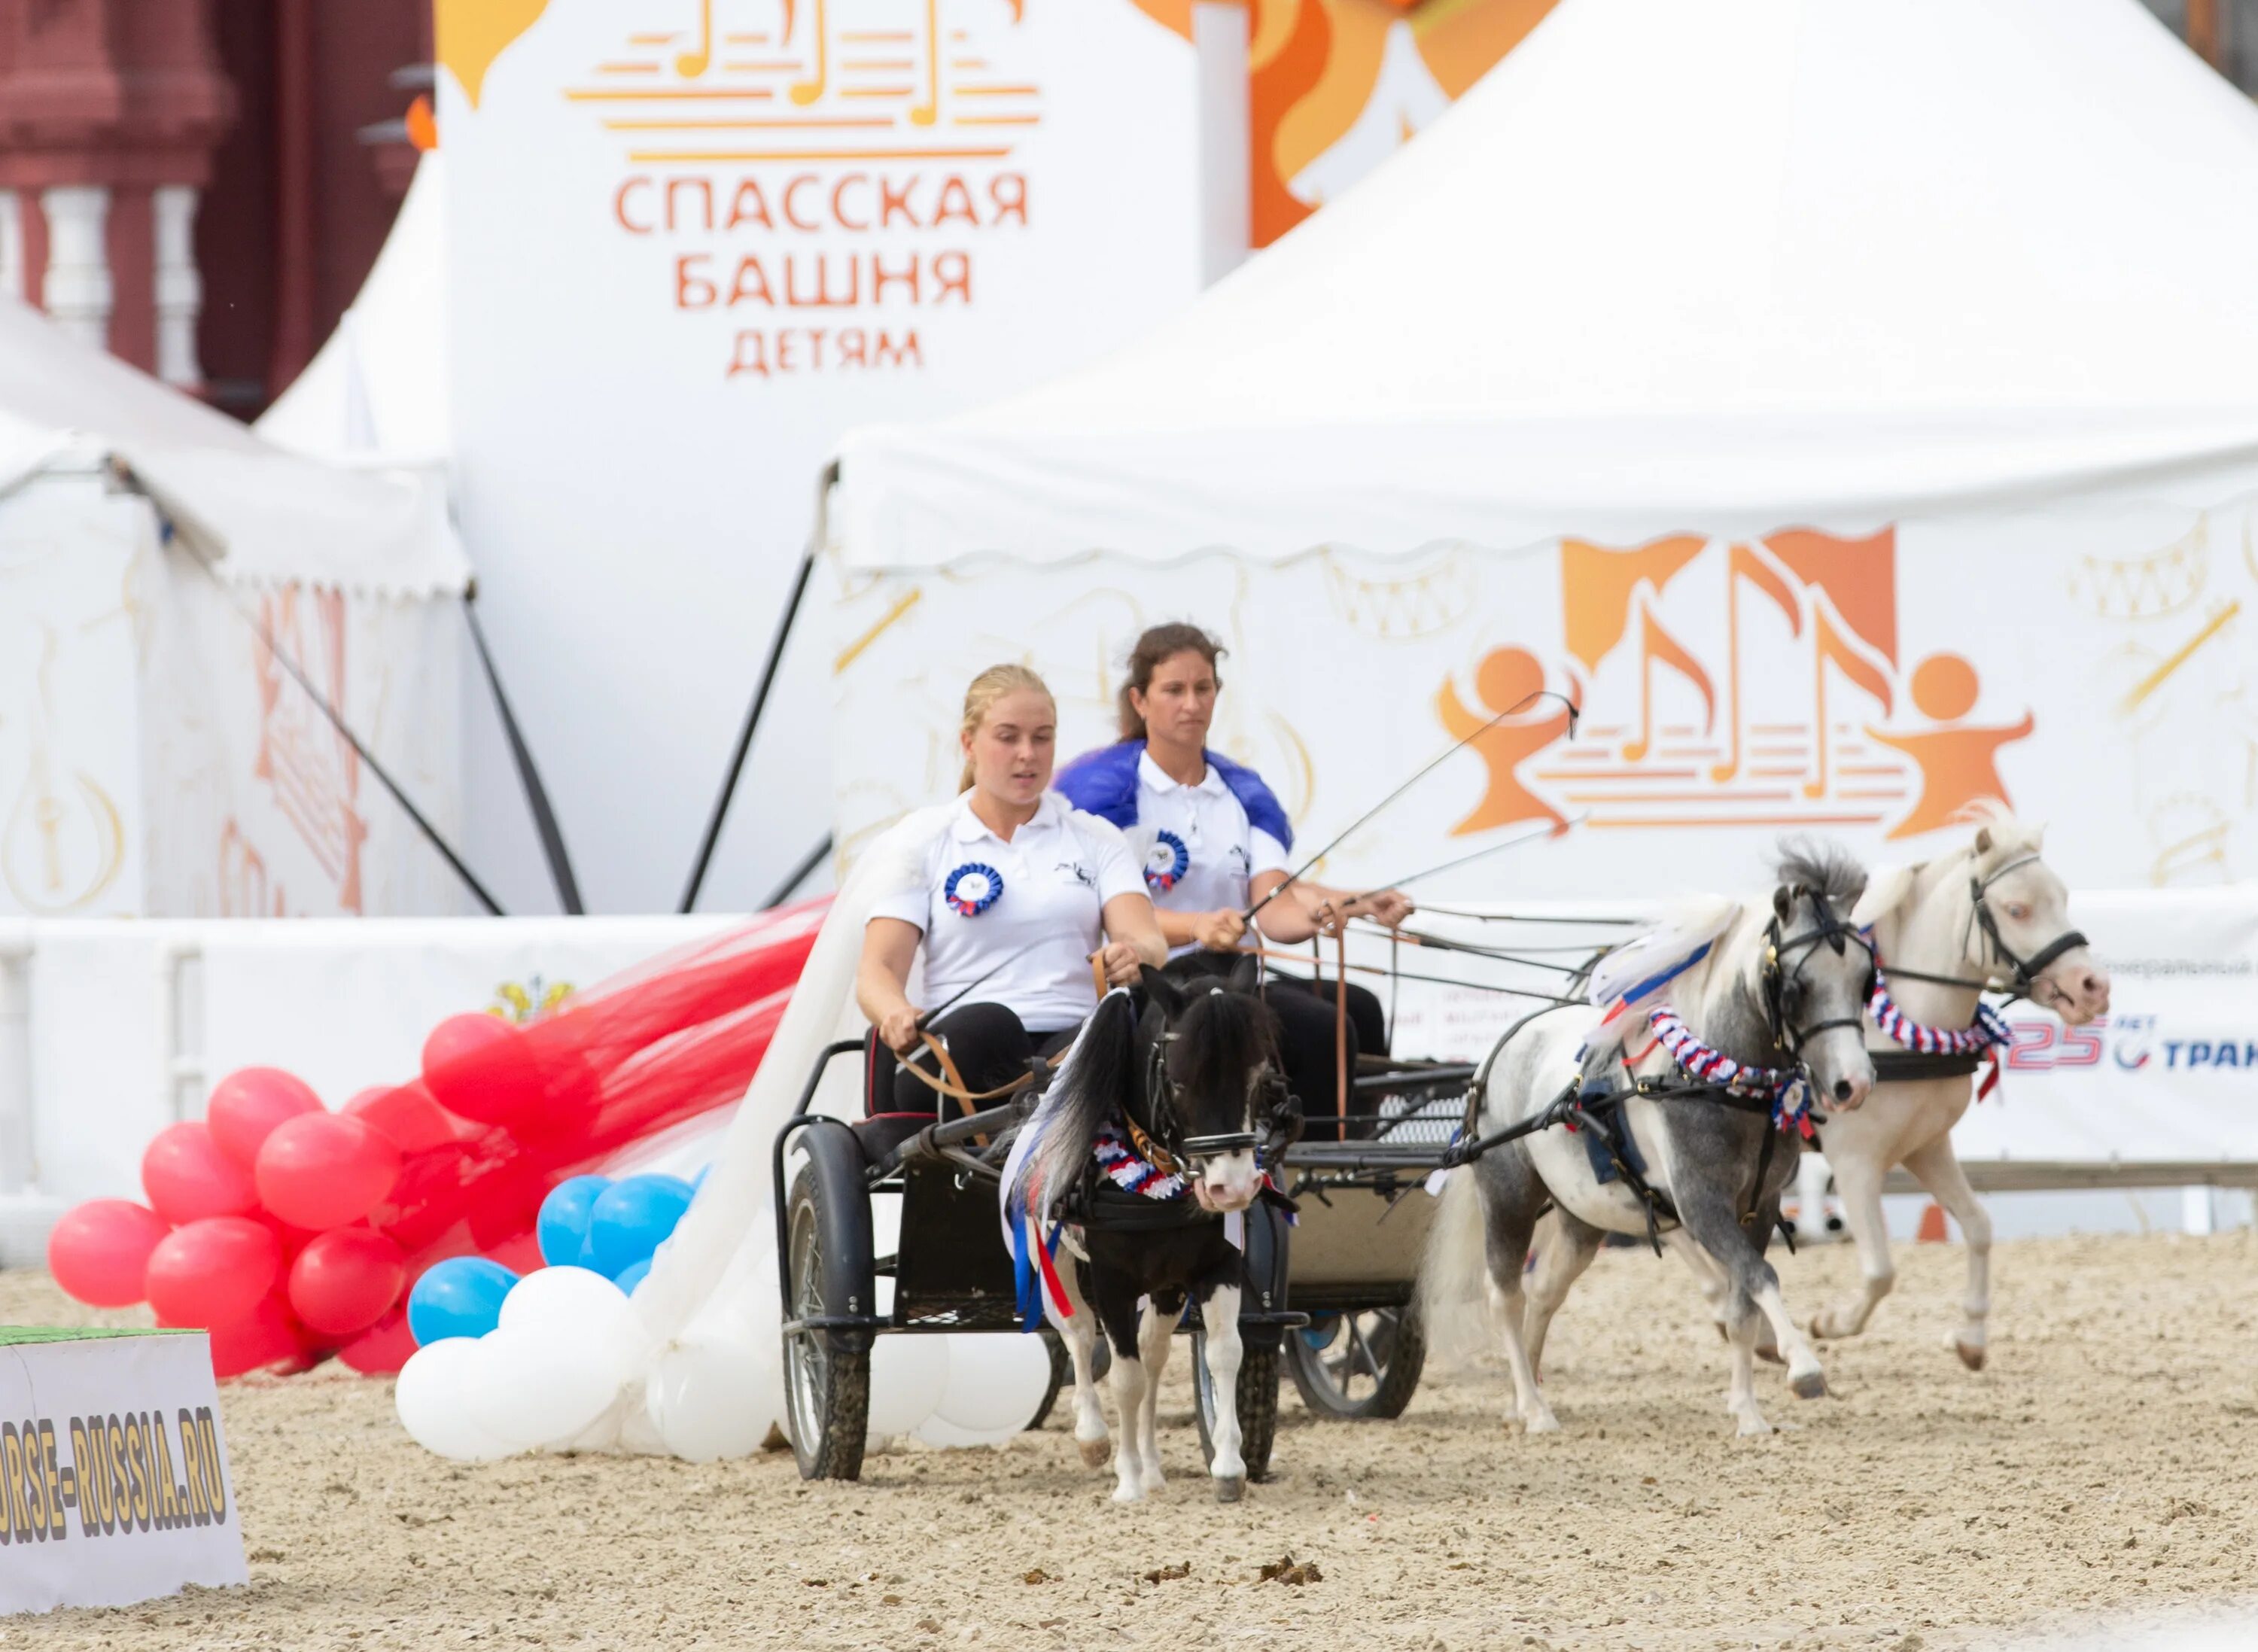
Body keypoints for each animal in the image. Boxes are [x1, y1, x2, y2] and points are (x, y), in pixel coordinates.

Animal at [1007, 961, 1292, 1507]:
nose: (1232, 1187)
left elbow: (1224, 1353)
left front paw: (1228, 1466)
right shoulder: (1113, 1282)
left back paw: (1154, 1465)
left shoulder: (1217, 1266)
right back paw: (1094, 1437)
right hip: (1050, 1259)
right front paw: (1128, 1480)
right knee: (1078, 1333)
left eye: (1259, 1078)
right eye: (1179, 1082)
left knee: (1154, 1355)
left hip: (1166, 1286)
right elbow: (1125, 1376)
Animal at [1427, 853, 1888, 1435]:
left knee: (1544, 1292)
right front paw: (1803, 1366)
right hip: (1509, 1197)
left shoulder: (1758, 1208)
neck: (1715, 1080)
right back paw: (1534, 1409)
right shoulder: (1701, 1204)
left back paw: (1522, 1393)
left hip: (1582, 1217)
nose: (1856, 1084)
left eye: (1865, 979)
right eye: (1796, 986)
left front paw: (1747, 1412)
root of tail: (1500, 1050)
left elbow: (1743, 1302)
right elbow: (1761, 1278)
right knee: (1504, 1295)